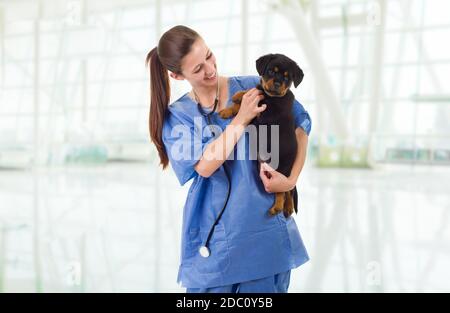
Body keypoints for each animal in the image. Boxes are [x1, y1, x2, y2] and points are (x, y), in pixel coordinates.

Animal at [217, 52, 302, 216]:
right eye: (271, 71)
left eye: (287, 78)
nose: (277, 83)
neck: (274, 97)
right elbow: (255, 91)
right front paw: (233, 102)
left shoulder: (260, 117)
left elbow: (257, 95)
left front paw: (238, 98)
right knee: (288, 190)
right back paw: (287, 207)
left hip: (283, 171)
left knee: (283, 190)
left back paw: (279, 207)